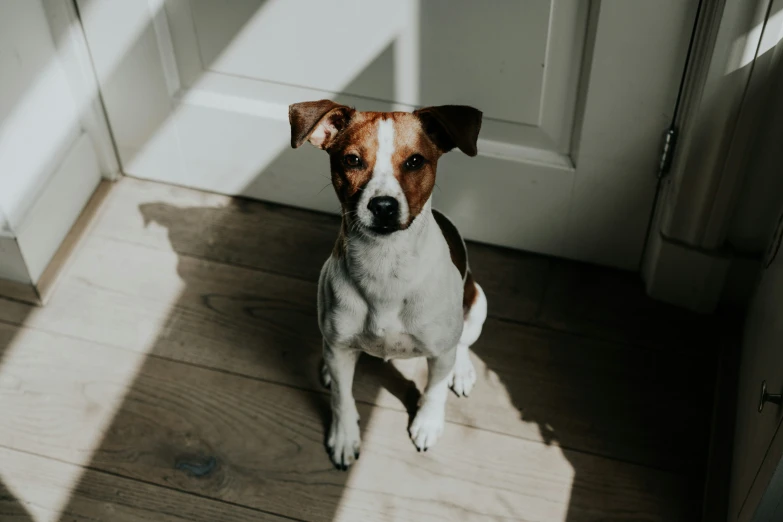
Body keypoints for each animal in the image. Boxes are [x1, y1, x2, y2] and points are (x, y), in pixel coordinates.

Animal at [290, 98, 486, 468]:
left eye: (415, 161)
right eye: (352, 160)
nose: (383, 206)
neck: (385, 264)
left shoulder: (440, 351)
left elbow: (435, 390)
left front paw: (427, 424)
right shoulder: (339, 345)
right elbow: (342, 398)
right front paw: (344, 436)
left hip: (478, 303)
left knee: (464, 343)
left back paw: (462, 370)